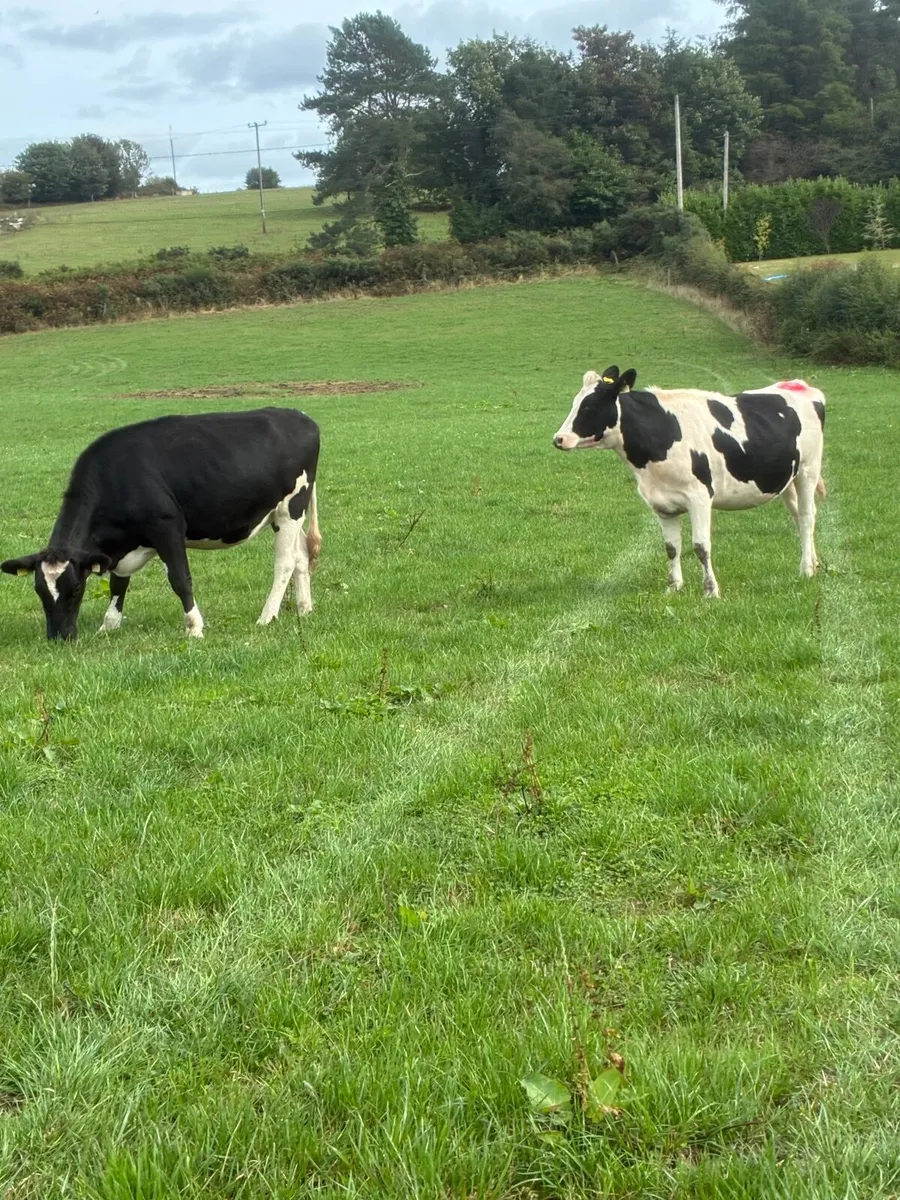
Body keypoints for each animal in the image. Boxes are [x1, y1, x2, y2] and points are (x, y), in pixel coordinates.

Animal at [2, 407, 321, 641]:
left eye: (77, 589)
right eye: (38, 590)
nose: (59, 637)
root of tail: (299, 416)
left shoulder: (167, 528)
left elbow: (180, 579)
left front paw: (194, 627)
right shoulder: (120, 546)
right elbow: (118, 583)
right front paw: (109, 624)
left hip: (290, 507)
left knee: (285, 563)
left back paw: (267, 616)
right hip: (283, 514)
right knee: (301, 556)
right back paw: (304, 609)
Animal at [553, 367, 825, 597]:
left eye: (589, 407)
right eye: (575, 403)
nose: (558, 439)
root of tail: (798, 384)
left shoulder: (700, 497)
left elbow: (701, 546)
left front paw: (711, 591)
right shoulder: (661, 503)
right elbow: (671, 547)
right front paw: (674, 587)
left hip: (808, 470)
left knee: (807, 516)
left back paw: (806, 570)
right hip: (787, 479)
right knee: (798, 517)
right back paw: (813, 563)